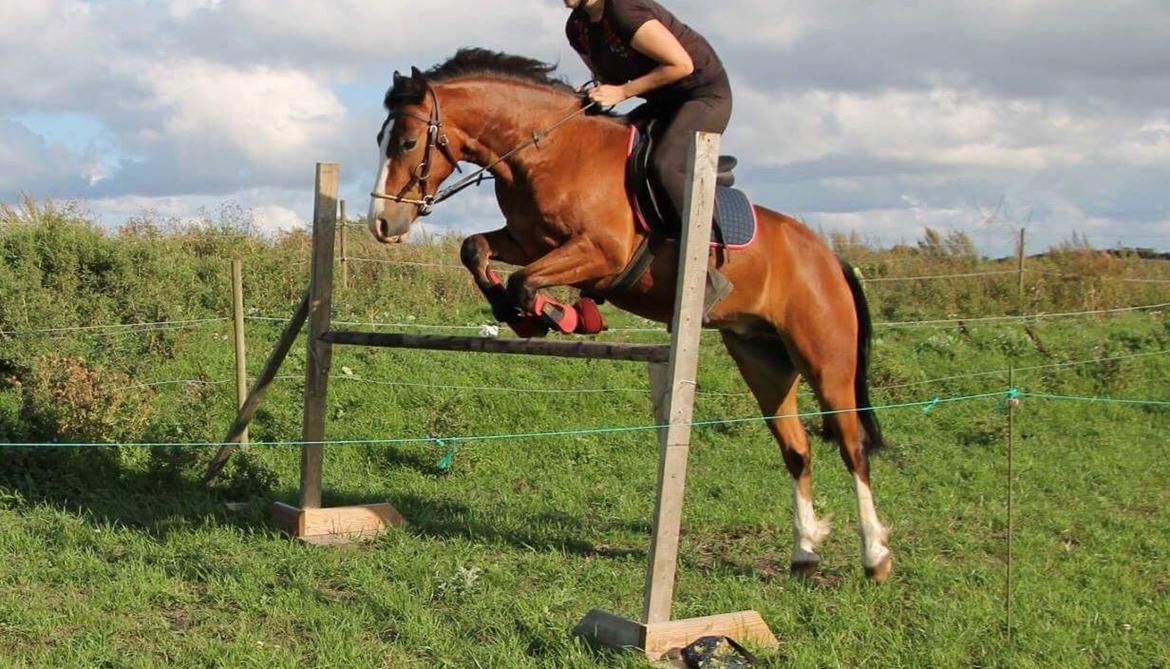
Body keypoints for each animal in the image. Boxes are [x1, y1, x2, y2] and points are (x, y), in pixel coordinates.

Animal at [369, 48, 889, 580]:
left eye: (407, 142)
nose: (383, 223)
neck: (551, 151)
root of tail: (829, 257)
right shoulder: (528, 240)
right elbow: (476, 250)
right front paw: (524, 315)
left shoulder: (602, 253)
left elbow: (525, 281)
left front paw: (559, 314)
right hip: (762, 359)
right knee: (796, 449)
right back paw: (804, 552)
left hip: (825, 359)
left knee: (851, 445)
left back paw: (875, 555)